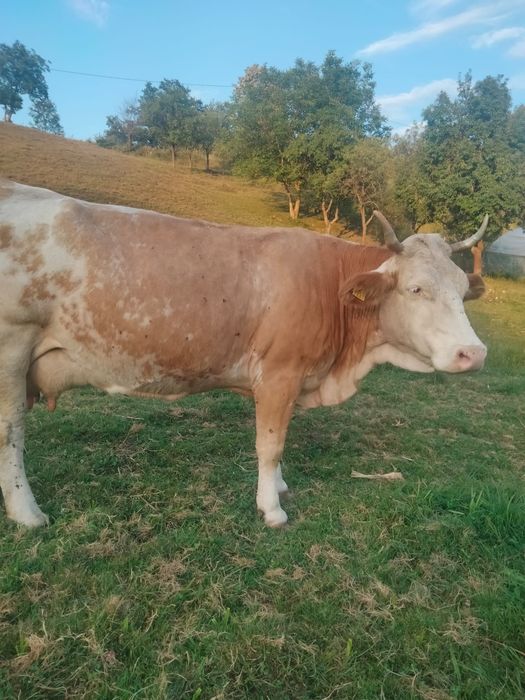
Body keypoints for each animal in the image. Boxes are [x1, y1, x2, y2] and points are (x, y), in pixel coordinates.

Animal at [0, 179, 488, 528]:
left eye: (462, 290)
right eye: (415, 289)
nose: (474, 353)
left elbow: (280, 437)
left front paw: (280, 486)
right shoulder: (279, 373)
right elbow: (270, 443)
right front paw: (272, 508)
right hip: (11, 351)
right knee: (11, 434)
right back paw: (28, 515)